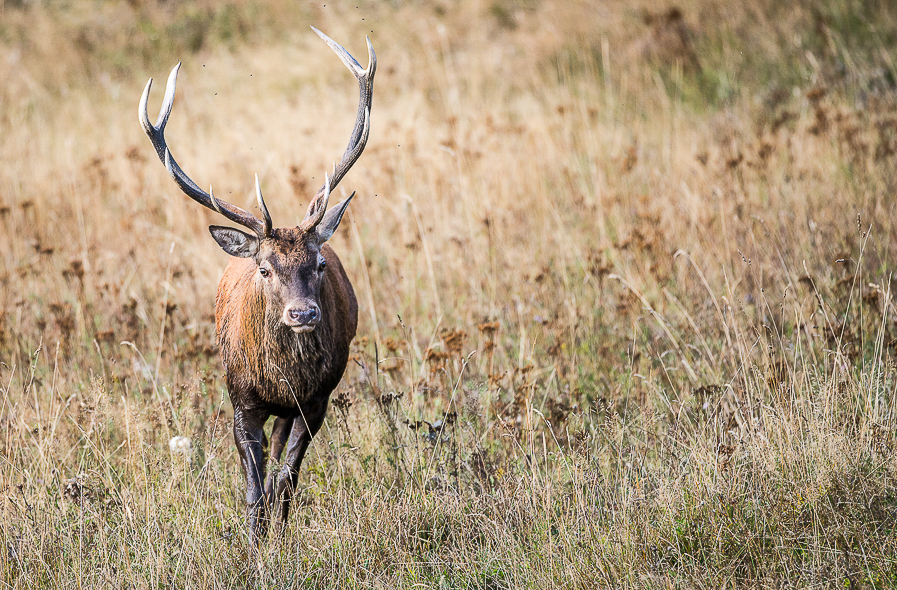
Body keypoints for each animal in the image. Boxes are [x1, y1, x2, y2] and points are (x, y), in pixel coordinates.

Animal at [137, 28, 374, 544]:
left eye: (319, 264)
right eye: (265, 269)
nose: (303, 313)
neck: (283, 377)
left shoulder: (316, 401)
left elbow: (286, 477)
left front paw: (278, 539)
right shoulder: (240, 398)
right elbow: (251, 483)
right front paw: (253, 542)